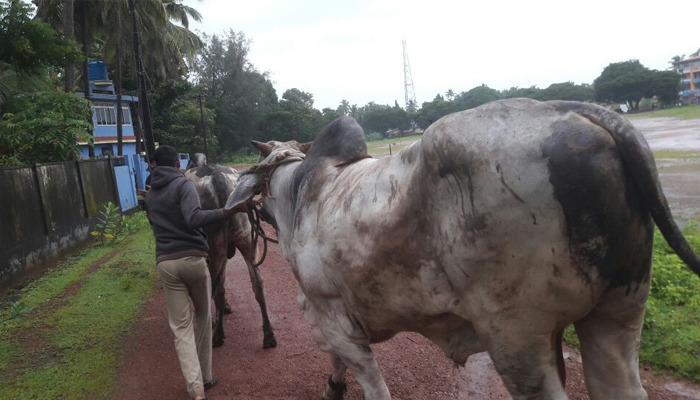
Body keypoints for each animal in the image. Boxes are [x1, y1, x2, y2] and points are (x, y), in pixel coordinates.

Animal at [227, 97, 696, 400]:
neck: (299, 194)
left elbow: (372, 383)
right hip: (620, 311)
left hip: (516, 337)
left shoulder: (333, 317)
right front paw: (333, 387)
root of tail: (585, 112)